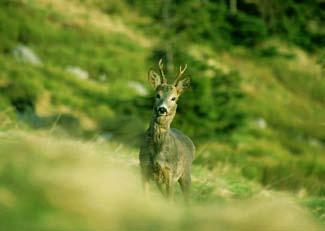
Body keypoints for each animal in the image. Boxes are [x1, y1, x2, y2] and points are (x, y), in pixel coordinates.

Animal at [139, 59, 195, 202]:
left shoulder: (170, 172)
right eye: (157, 95)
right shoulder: (144, 167)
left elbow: (170, 200)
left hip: (186, 173)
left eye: (173, 98)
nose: (162, 109)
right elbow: (145, 197)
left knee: (187, 199)